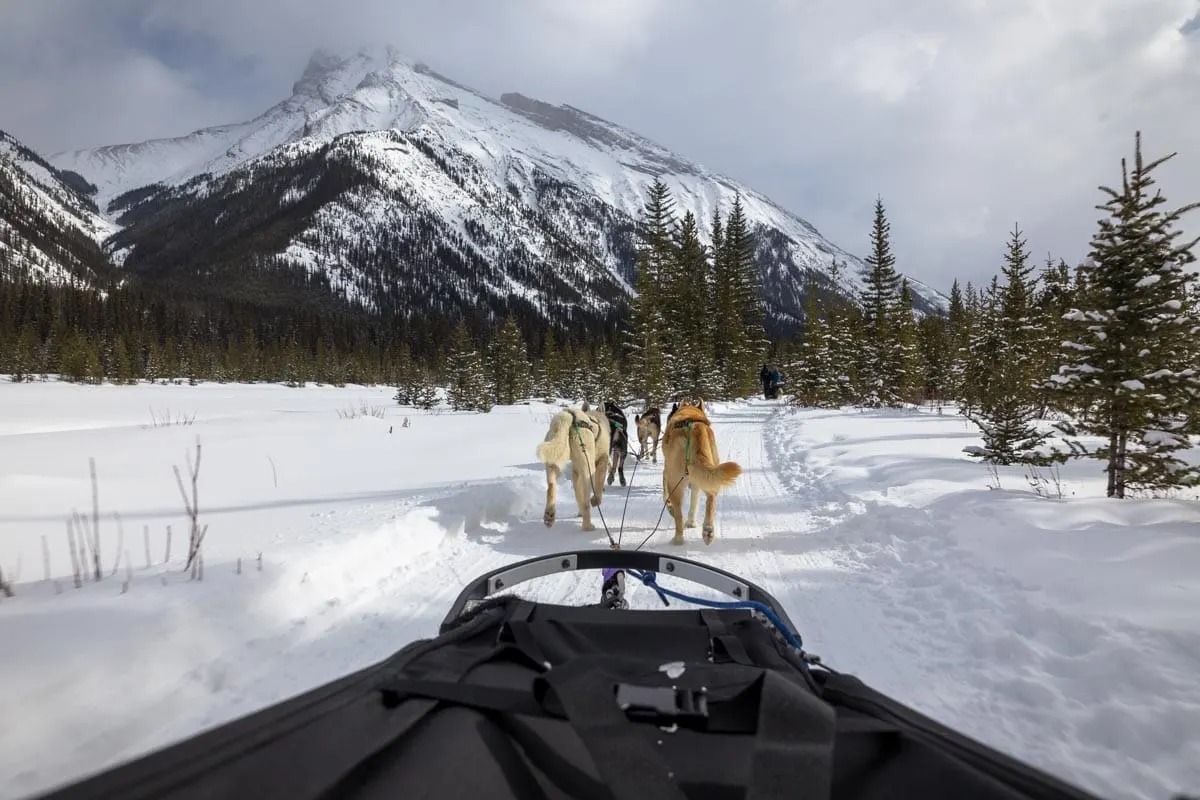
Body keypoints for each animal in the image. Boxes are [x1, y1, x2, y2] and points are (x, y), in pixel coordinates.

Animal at [657, 400, 739, 544]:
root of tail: (695, 428)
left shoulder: (667, 473)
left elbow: (665, 494)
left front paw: (670, 508)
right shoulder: (695, 481)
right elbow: (694, 501)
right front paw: (692, 522)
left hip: (676, 481)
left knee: (678, 514)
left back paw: (678, 538)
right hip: (709, 472)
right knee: (711, 496)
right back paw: (708, 530)